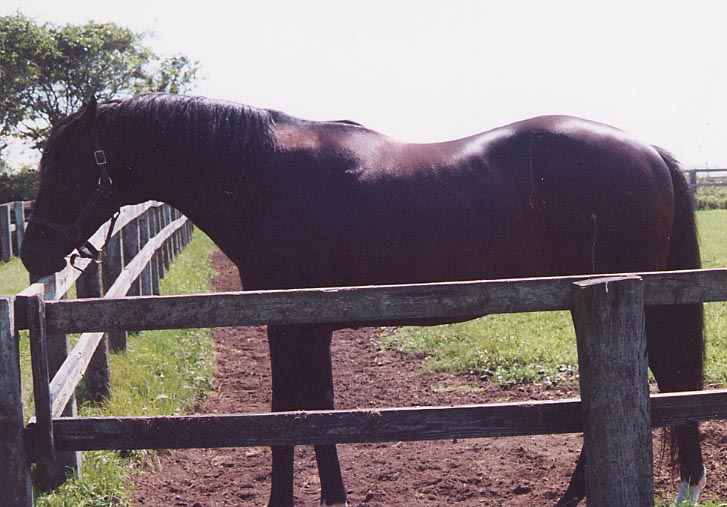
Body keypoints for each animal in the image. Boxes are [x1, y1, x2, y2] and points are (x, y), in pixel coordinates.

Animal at [20, 93, 706, 506]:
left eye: (63, 164)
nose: (30, 254)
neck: (264, 177)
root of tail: (648, 150)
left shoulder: (291, 323)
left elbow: (291, 412)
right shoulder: (305, 323)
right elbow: (314, 409)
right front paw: (331, 496)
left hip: (619, 296)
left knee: (662, 380)